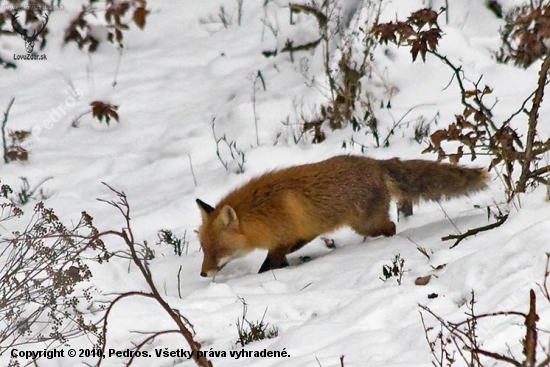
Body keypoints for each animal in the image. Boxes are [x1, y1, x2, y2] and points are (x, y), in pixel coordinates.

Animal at [196, 157, 490, 278]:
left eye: (219, 250)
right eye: (203, 249)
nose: (202, 273)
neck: (263, 212)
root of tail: (375, 163)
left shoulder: (282, 242)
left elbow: (267, 266)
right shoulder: (296, 236)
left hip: (367, 224)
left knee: (392, 227)